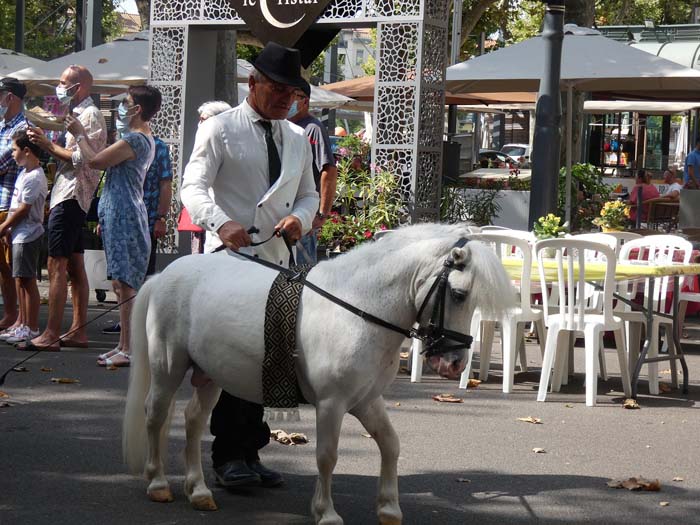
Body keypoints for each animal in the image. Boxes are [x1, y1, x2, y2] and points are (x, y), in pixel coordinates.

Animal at [121, 222, 516, 524]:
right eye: (459, 294)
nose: (454, 364)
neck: (357, 306)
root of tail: (164, 274)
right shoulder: (332, 404)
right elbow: (327, 456)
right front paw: (326, 512)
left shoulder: (367, 401)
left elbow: (391, 444)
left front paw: (389, 508)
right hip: (168, 367)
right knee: (155, 415)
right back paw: (158, 484)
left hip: (209, 375)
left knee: (192, 420)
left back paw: (199, 490)